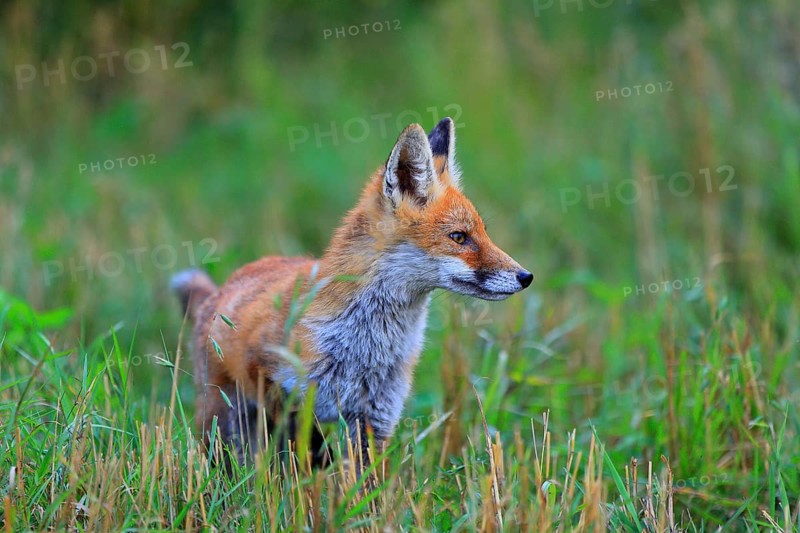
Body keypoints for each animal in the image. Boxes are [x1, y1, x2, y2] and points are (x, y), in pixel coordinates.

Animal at [172, 117, 533, 466]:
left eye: (483, 233)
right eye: (459, 237)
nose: (525, 276)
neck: (365, 344)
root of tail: (221, 289)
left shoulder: (375, 416)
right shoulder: (270, 379)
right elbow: (305, 452)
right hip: (223, 417)